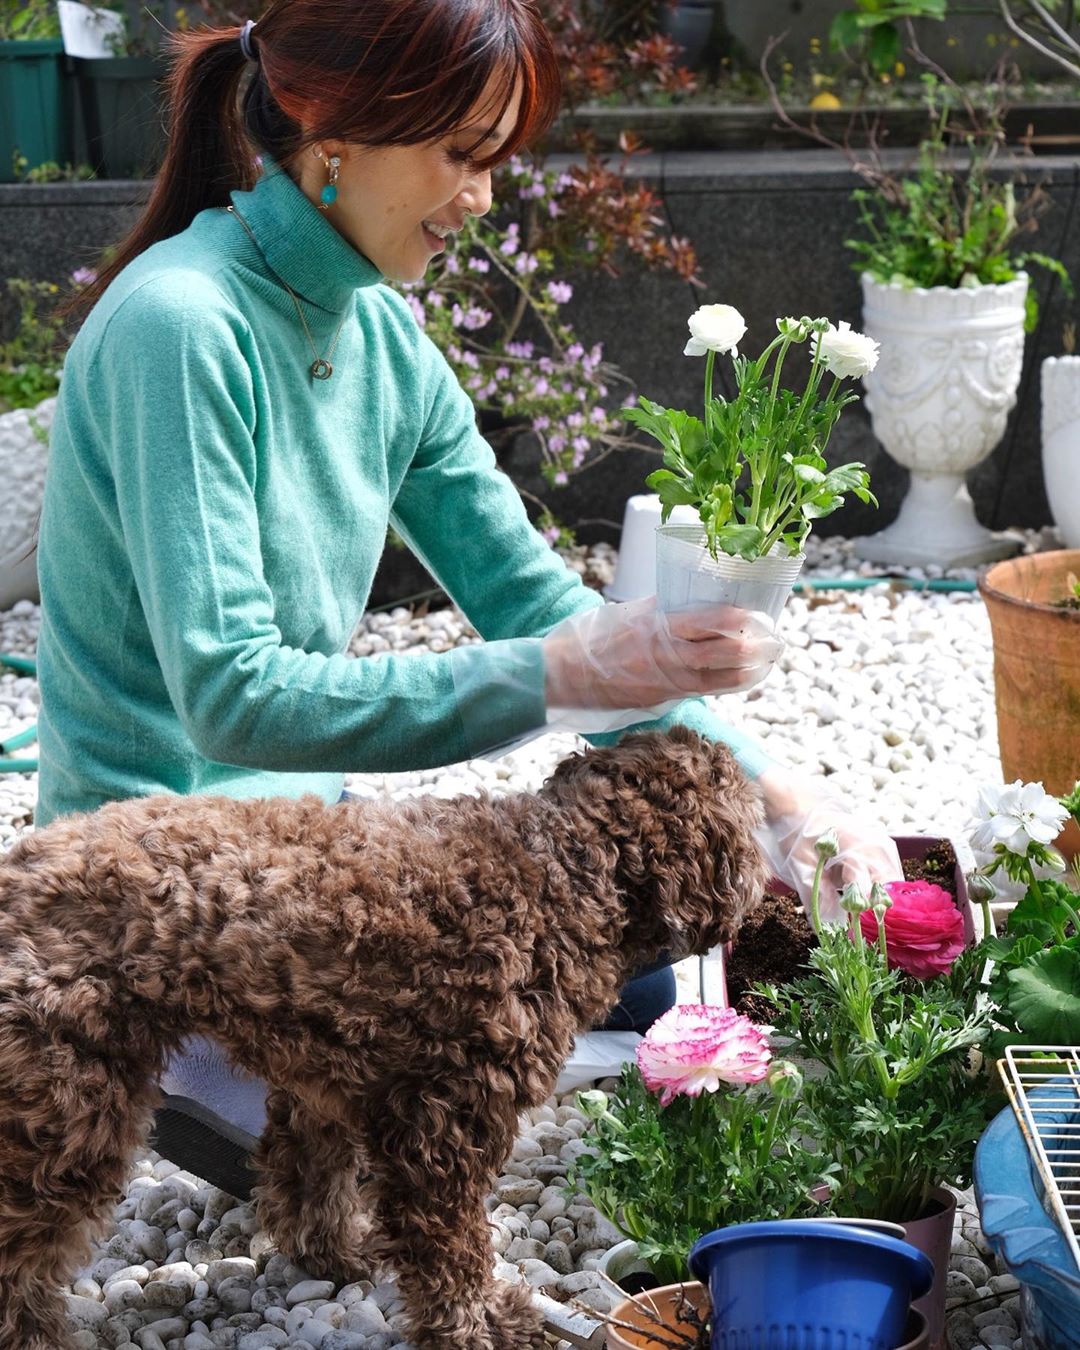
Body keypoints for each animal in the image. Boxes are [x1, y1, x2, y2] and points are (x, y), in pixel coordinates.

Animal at [0, 729, 766, 1350]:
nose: (760, 884)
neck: (565, 873)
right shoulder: (446, 1124)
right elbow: (451, 1250)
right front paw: (478, 1326)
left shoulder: (325, 1084)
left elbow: (310, 1176)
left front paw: (330, 1257)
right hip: (70, 1108)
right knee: (20, 1256)